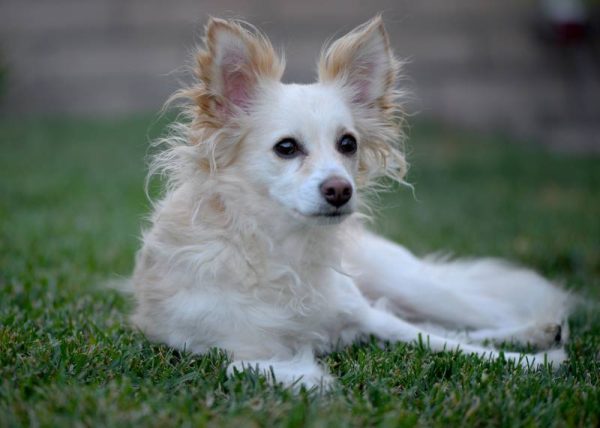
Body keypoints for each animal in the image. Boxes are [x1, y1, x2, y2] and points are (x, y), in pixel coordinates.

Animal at [131, 16, 572, 388]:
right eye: (286, 147)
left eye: (348, 144)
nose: (340, 190)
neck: (284, 249)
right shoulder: (221, 347)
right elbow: (240, 367)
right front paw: (311, 378)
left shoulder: (369, 314)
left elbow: (447, 344)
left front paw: (532, 363)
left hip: (412, 284)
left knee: (473, 318)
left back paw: (536, 331)